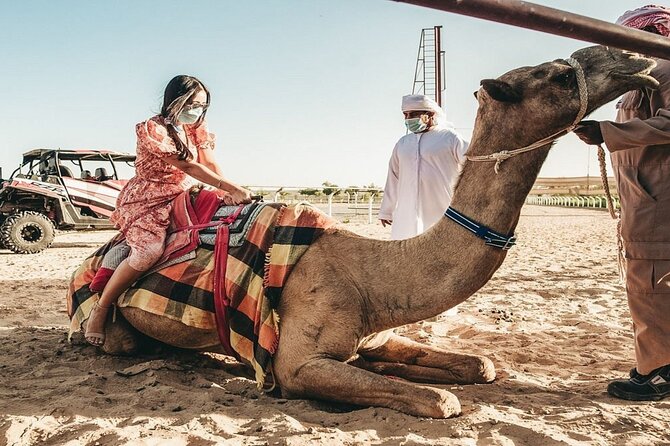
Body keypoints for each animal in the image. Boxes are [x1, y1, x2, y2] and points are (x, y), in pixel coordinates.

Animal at [80, 45, 657, 419]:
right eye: (558, 74)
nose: (640, 62)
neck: (372, 277)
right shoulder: (297, 365)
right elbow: (442, 401)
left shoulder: (376, 332)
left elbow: (482, 365)